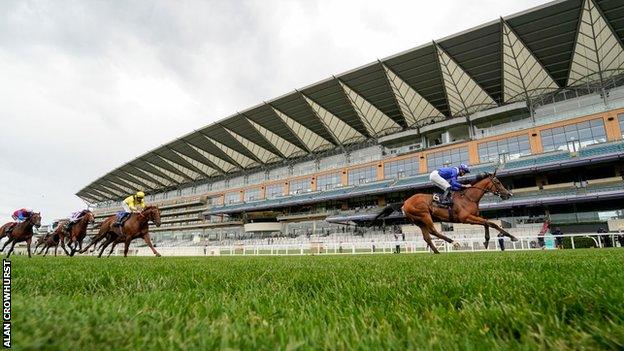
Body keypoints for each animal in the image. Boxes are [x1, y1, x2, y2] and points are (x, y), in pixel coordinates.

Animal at [376, 172, 516, 254]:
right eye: (497, 182)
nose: (509, 194)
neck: (468, 197)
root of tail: (405, 202)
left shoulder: (475, 216)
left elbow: (487, 223)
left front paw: (486, 241)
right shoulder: (466, 218)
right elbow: (492, 223)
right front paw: (512, 236)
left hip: (418, 221)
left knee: (427, 236)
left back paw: (437, 252)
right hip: (424, 215)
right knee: (433, 231)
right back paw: (454, 242)